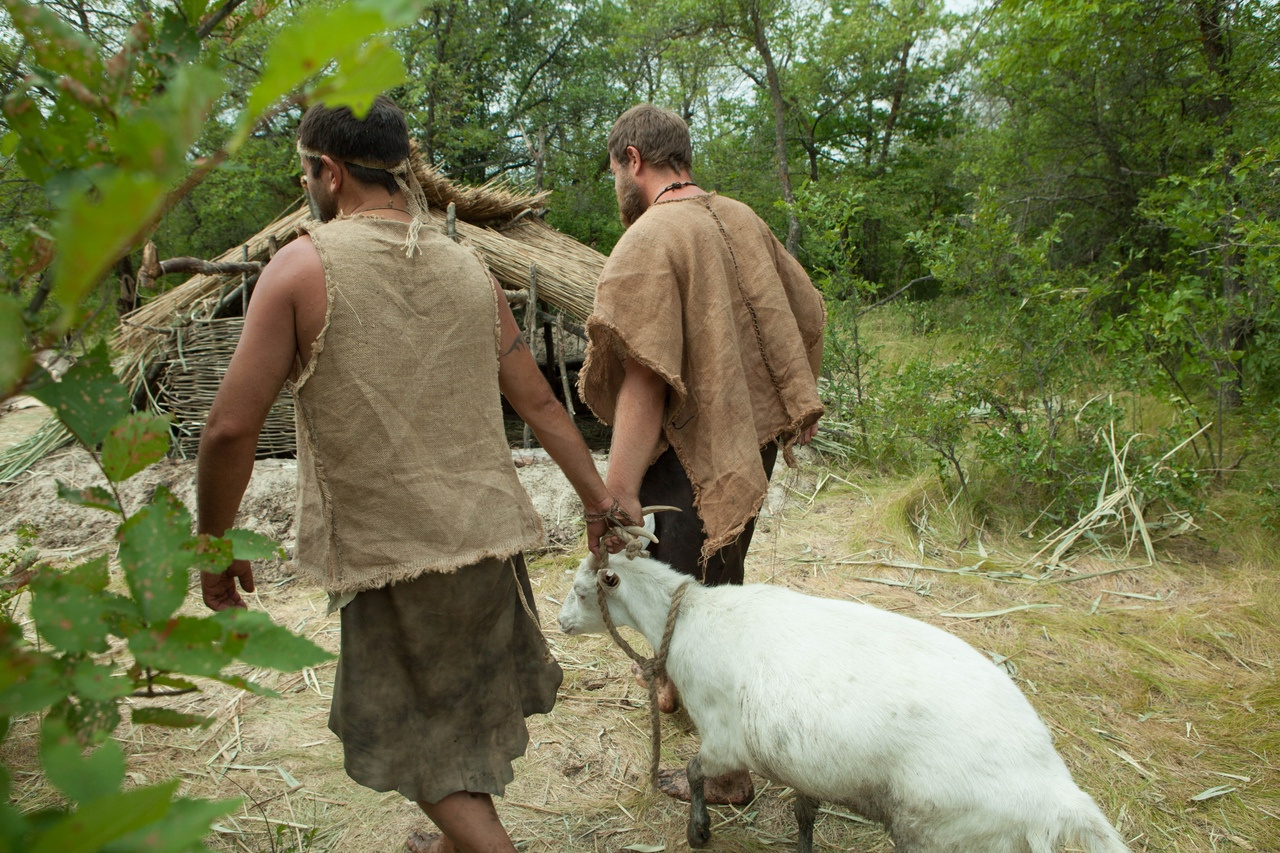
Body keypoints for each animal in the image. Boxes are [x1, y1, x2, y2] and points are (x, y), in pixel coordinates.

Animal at [558, 555, 1131, 850]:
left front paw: (698, 830)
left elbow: (697, 772)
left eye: (583, 591)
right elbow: (804, 814)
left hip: (937, 833)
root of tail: (1053, 789)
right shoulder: (805, 765)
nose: (561, 624)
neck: (690, 615)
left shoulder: (723, 738)